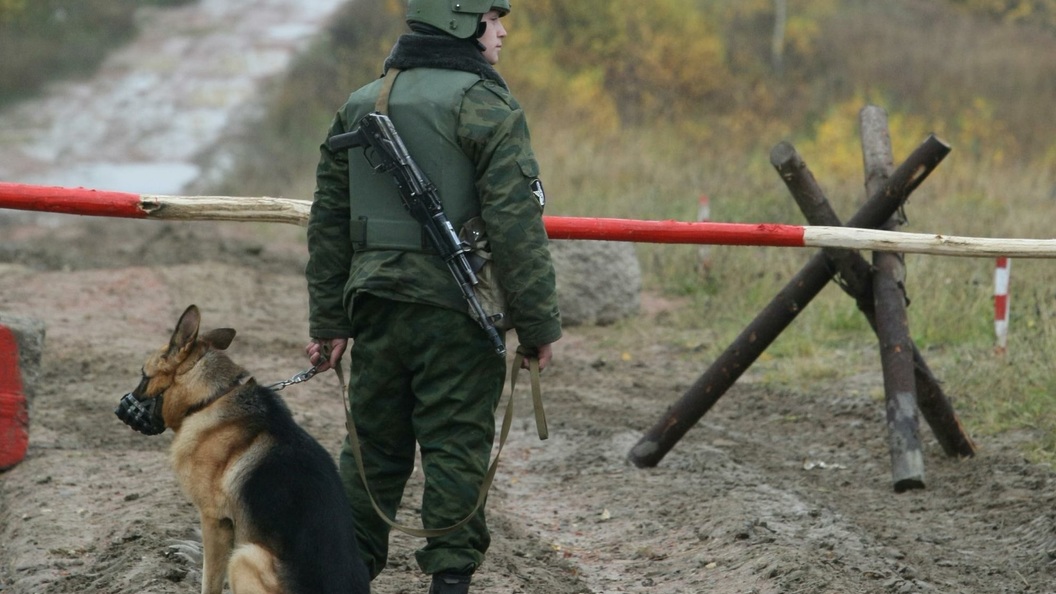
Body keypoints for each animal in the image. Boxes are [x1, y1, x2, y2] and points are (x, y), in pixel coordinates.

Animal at [115, 304, 369, 591]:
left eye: (143, 376)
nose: (117, 410)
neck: (210, 397)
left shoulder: (214, 522)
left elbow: (209, 581)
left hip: (244, 556)